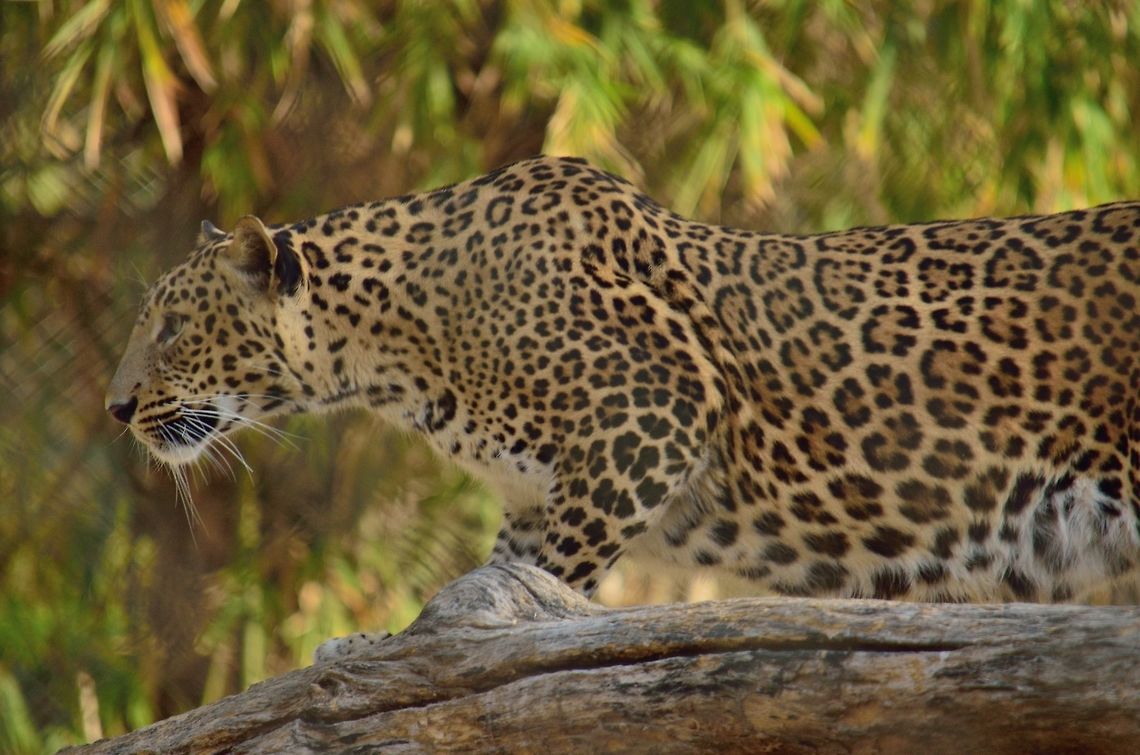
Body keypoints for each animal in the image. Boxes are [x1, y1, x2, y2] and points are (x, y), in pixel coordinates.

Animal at [107, 155, 1140, 620]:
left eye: (172, 326)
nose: (115, 408)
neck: (397, 348)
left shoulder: (646, 424)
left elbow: (546, 591)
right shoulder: (534, 498)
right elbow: (500, 584)